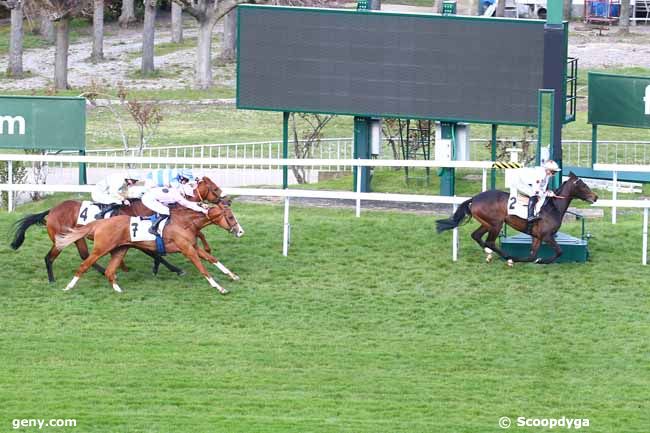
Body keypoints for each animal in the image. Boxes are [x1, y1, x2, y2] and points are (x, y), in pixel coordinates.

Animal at [8, 176, 223, 282]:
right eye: (214, 188)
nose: (225, 199)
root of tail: (51, 210)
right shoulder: (137, 237)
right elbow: (155, 253)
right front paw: (174, 269)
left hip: (77, 238)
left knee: (85, 256)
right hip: (61, 238)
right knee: (51, 257)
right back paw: (53, 279)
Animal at [54, 199, 243, 294]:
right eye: (230, 217)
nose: (241, 232)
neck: (184, 222)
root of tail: (100, 222)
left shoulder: (193, 246)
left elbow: (212, 259)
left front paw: (233, 275)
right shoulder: (187, 250)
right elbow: (203, 268)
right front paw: (219, 287)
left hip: (120, 250)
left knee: (109, 271)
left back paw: (118, 290)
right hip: (101, 249)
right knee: (84, 265)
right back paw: (68, 287)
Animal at [436, 171, 596, 264]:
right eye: (583, 185)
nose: (595, 197)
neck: (553, 207)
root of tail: (474, 198)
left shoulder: (537, 236)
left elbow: (533, 255)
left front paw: (535, 259)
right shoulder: (547, 235)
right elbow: (559, 251)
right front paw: (541, 261)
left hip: (487, 223)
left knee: (476, 236)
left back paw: (490, 254)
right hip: (496, 224)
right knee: (490, 242)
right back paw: (508, 257)